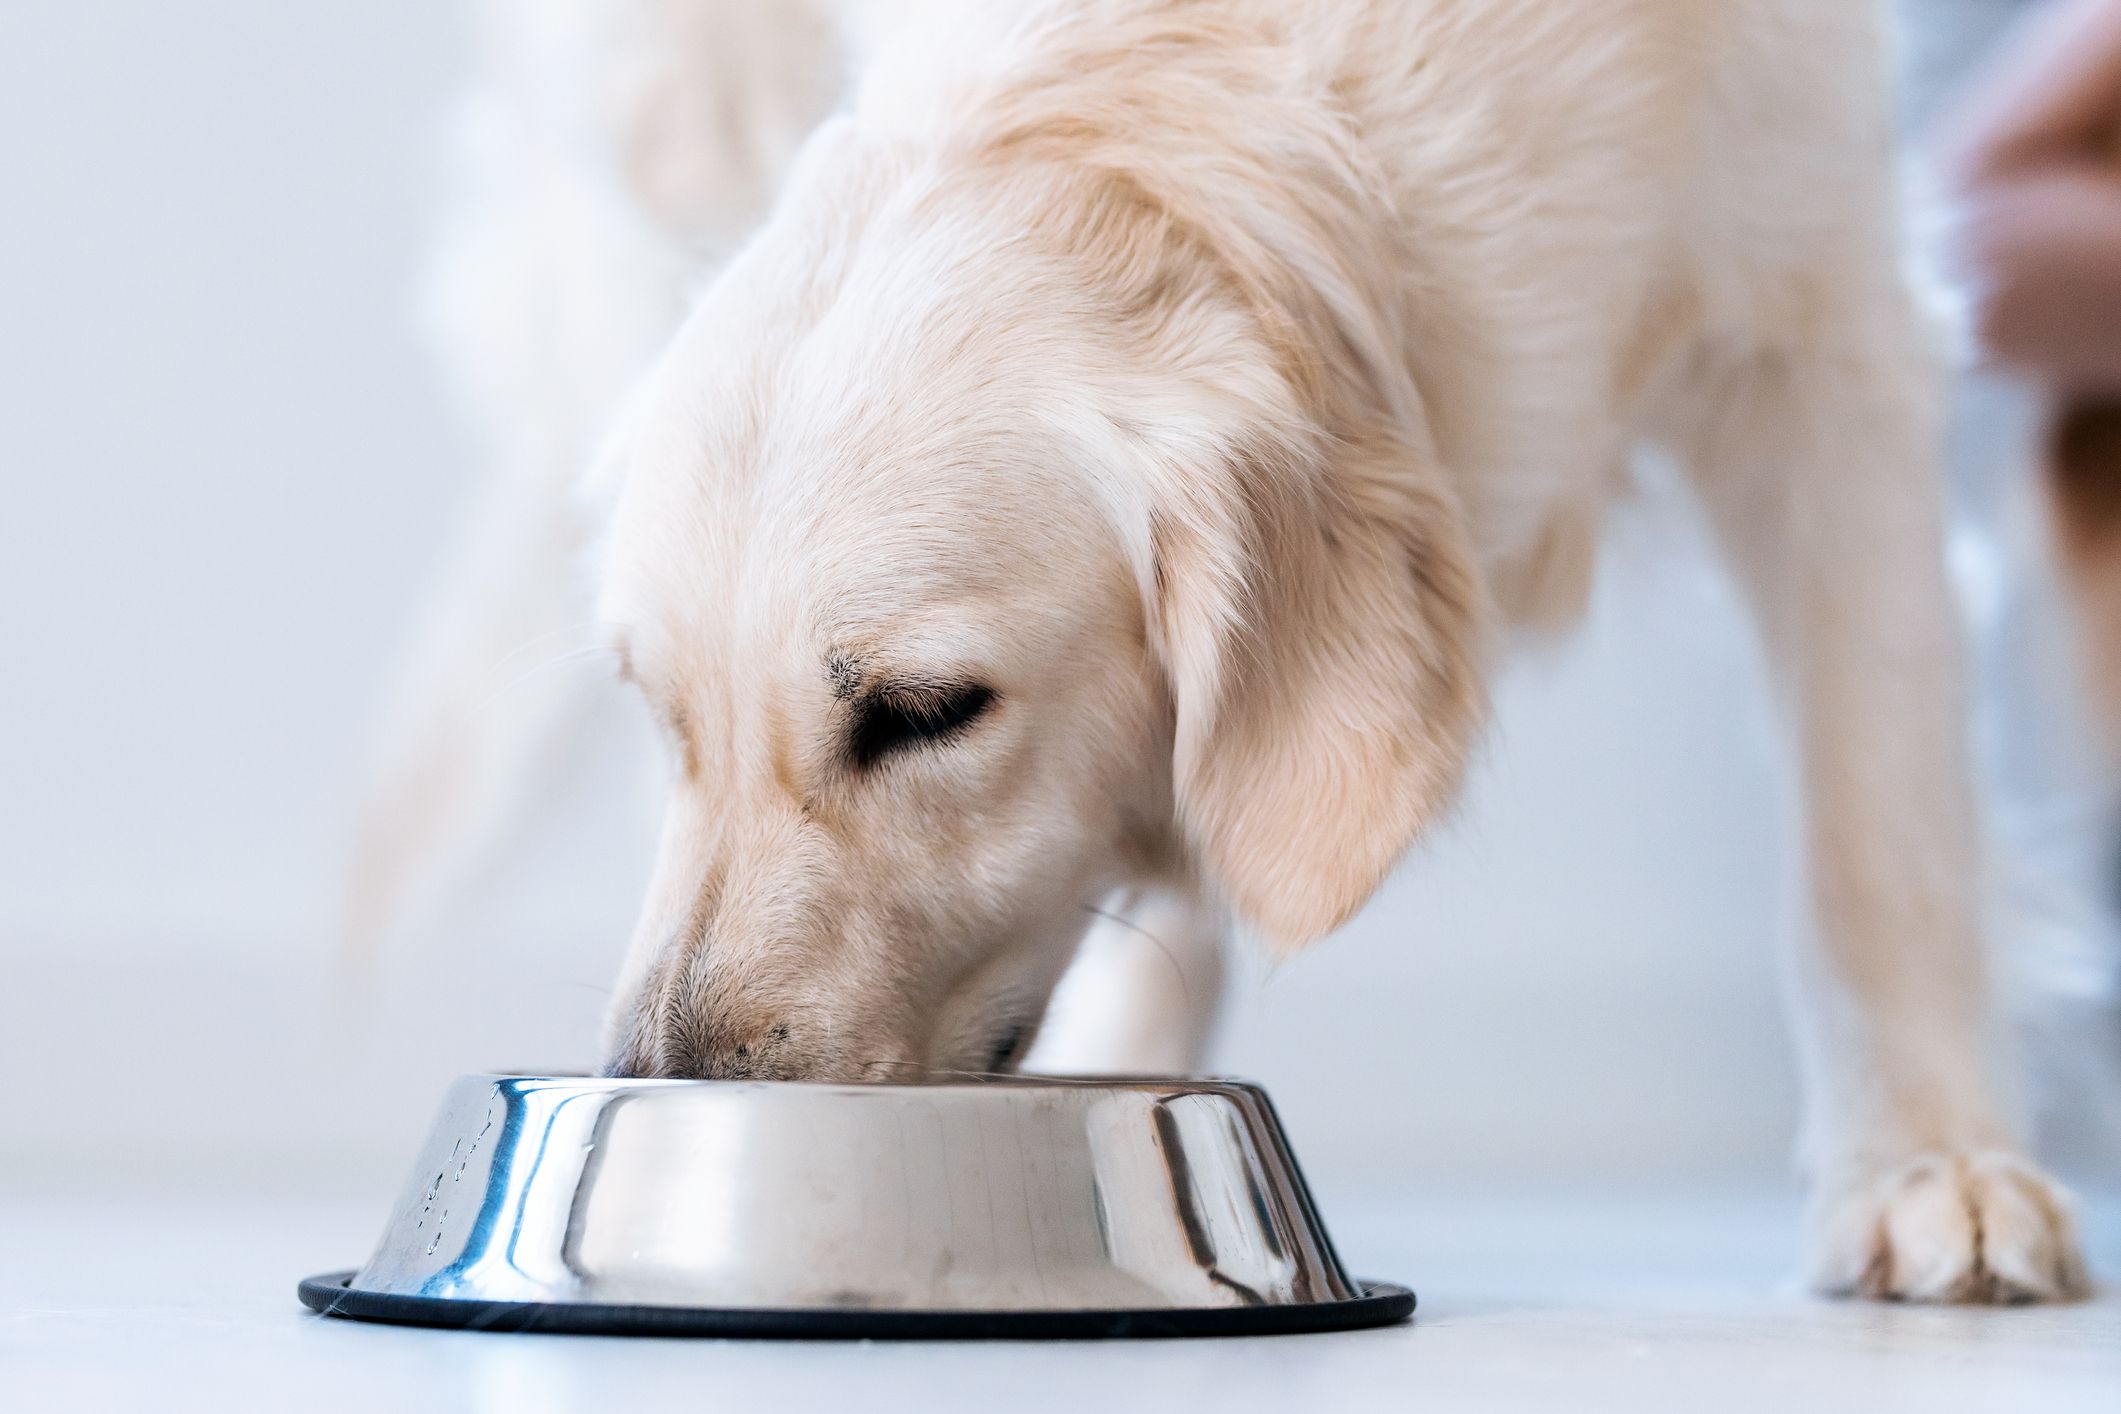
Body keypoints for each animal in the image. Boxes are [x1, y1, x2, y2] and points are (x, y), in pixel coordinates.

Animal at [347, 0, 2087, 1305]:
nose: (662, 1082)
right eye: (667, 719)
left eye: (924, 711)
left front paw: (1931, 1164)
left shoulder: (1826, 319)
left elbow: (1874, 829)